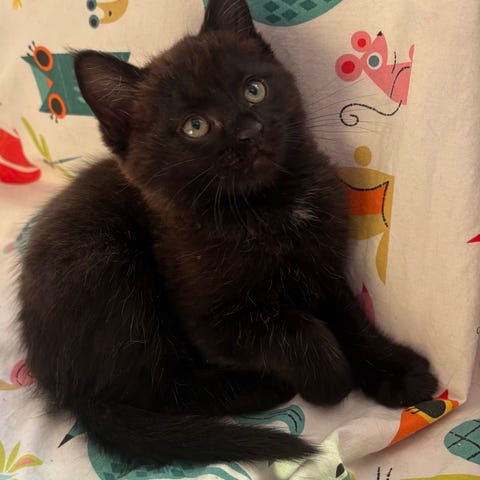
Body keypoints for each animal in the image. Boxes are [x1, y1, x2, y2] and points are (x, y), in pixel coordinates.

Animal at [18, 0, 438, 467]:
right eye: (195, 126)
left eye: (254, 89)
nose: (250, 131)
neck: (267, 207)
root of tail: (60, 380)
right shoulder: (209, 322)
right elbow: (295, 327)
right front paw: (331, 379)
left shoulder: (324, 268)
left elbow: (351, 317)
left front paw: (397, 370)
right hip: (112, 272)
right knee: (157, 388)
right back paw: (264, 387)